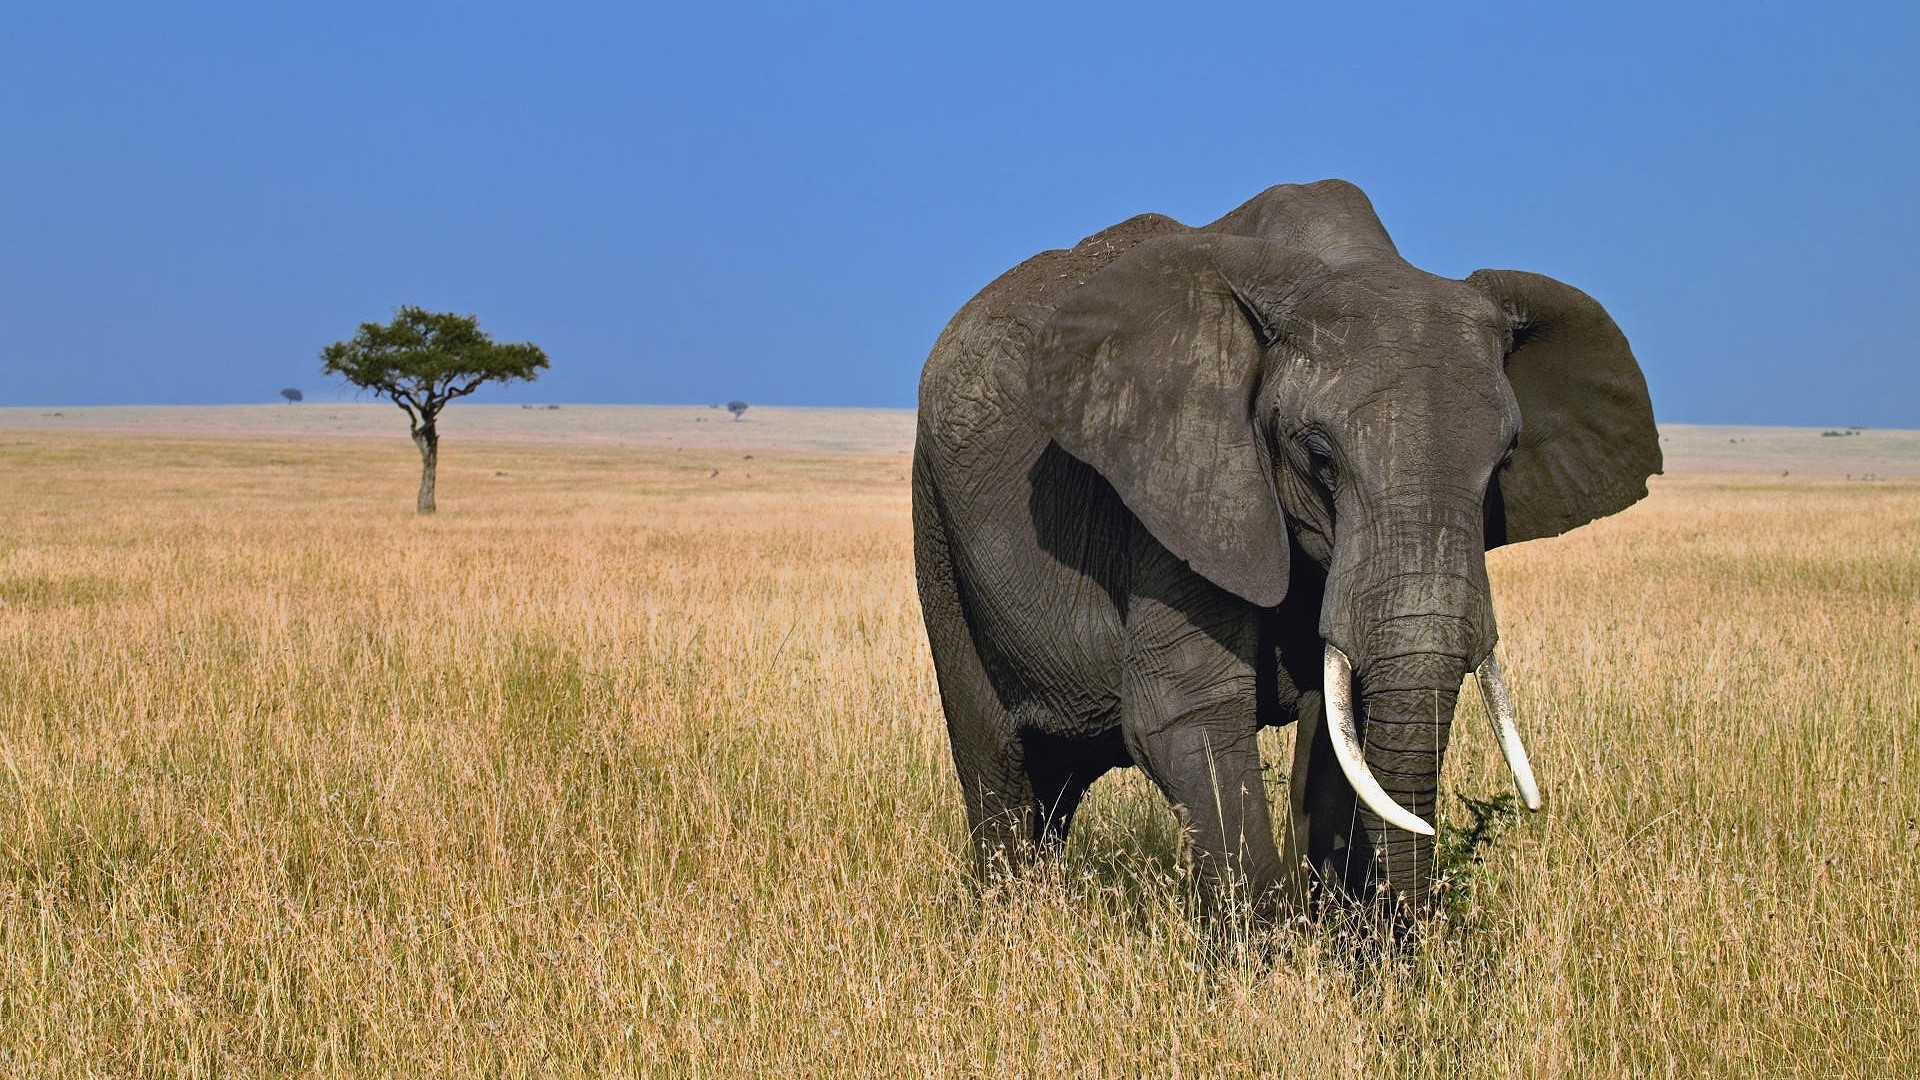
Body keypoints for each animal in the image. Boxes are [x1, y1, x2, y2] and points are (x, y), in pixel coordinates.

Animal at [912, 179, 1659, 920]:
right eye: (1320, 458)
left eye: (1503, 462)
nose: (1410, 929)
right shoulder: (1182, 480)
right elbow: (1184, 711)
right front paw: (1269, 949)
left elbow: (1337, 731)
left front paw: (1347, 939)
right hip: (938, 526)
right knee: (999, 762)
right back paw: (1012, 918)